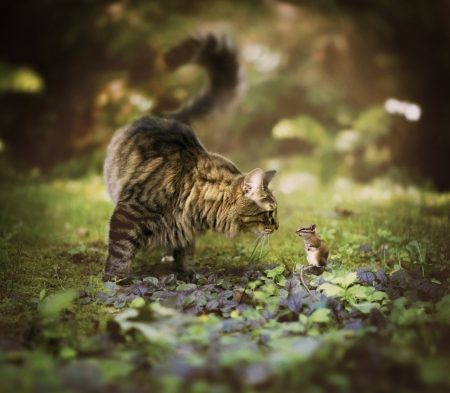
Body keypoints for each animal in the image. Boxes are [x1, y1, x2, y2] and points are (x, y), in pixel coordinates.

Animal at [103, 32, 278, 280]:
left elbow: (185, 253)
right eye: (270, 212)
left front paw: (188, 274)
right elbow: (120, 251)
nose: (277, 226)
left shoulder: (185, 233)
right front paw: (115, 279)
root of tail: (172, 117)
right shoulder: (127, 215)